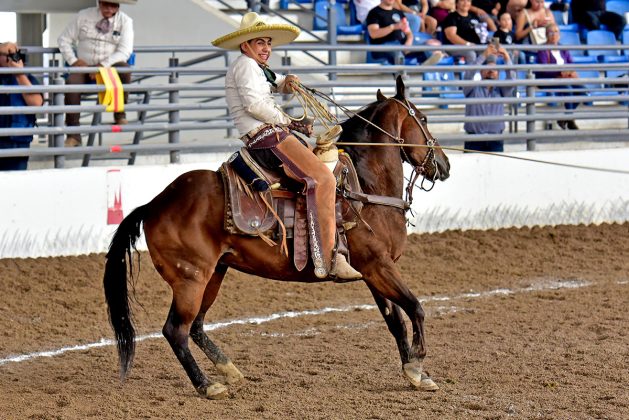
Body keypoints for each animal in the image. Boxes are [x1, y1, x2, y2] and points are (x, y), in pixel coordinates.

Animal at [105, 76, 452, 400]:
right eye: (423, 119)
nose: (444, 164)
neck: (364, 186)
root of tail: (153, 204)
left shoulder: (373, 271)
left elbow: (396, 321)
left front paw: (415, 373)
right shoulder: (378, 266)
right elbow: (416, 307)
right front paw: (417, 364)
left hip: (214, 273)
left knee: (197, 326)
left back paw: (229, 370)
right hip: (191, 278)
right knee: (176, 330)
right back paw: (207, 385)